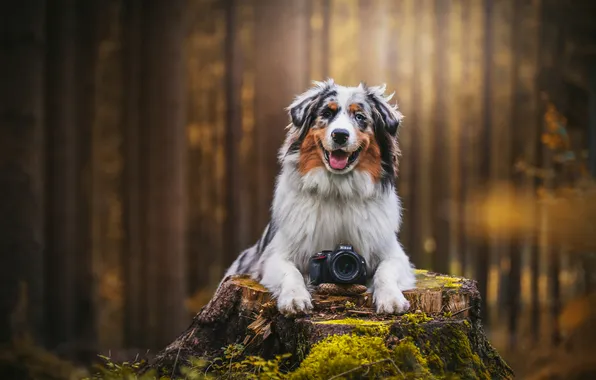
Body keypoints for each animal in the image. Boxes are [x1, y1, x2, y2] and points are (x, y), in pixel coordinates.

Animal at [219, 79, 414, 314]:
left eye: (360, 117)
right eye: (327, 113)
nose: (340, 134)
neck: (338, 190)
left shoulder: (394, 253)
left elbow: (385, 270)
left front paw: (391, 298)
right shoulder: (273, 256)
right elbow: (291, 272)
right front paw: (295, 298)